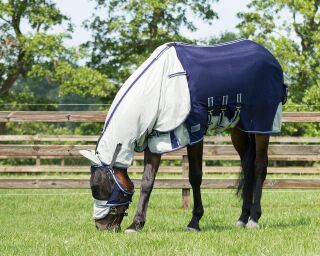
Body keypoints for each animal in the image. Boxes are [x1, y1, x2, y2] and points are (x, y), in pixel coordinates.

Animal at [80, 39, 288, 233]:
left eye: (95, 188)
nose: (101, 226)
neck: (158, 86)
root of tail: (270, 58)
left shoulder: (194, 132)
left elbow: (195, 176)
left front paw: (194, 221)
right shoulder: (156, 137)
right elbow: (147, 181)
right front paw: (136, 224)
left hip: (263, 125)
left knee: (259, 167)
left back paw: (254, 218)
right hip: (240, 129)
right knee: (247, 168)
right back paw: (242, 218)